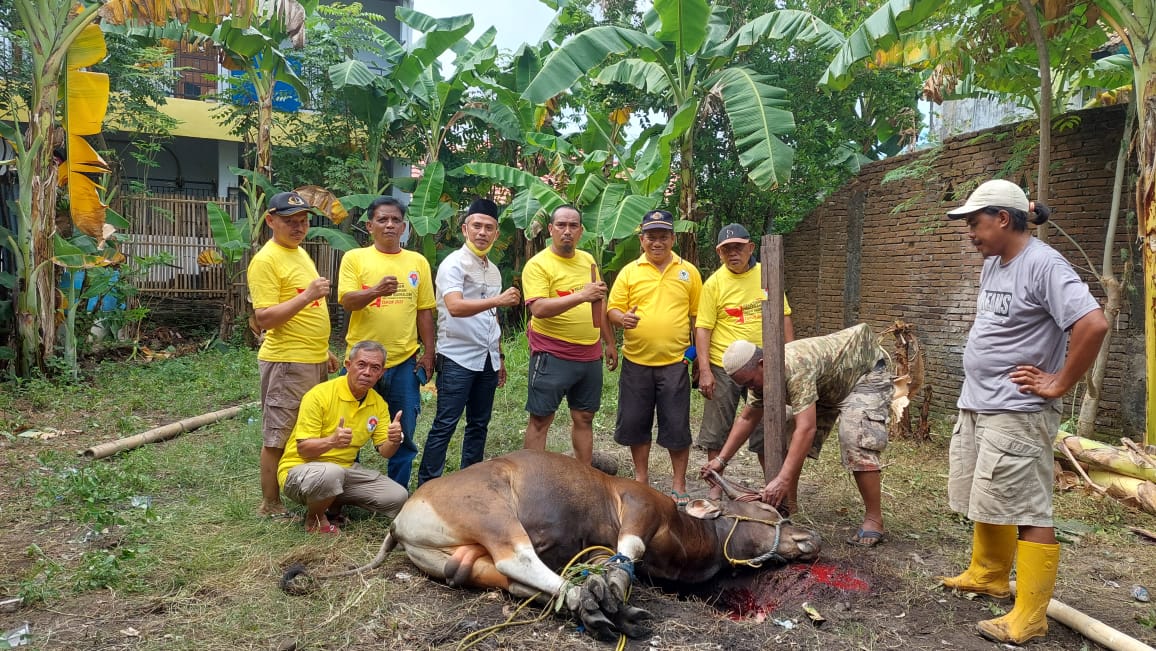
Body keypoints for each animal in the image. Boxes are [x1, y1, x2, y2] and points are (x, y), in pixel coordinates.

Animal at [282, 450, 823, 638]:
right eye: (769, 512)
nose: (810, 537)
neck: (684, 534)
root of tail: (401, 516)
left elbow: (610, 566)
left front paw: (604, 591)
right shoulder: (639, 509)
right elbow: (629, 556)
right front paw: (608, 594)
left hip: (462, 561)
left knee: (510, 579)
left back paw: (584, 603)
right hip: (494, 513)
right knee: (519, 558)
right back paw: (588, 602)